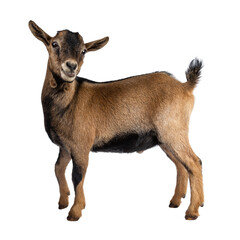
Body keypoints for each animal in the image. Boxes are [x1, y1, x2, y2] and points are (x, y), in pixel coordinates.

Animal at [28, 20, 204, 221]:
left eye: (84, 50)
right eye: (54, 44)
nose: (71, 66)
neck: (69, 101)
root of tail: (185, 87)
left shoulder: (81, 146)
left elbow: (77, 176)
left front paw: (75, 211)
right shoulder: (65, 146)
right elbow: (58, 169)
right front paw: (63, 203)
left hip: (174, 132)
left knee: (194, 163)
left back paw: (192, 211)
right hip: (164, 139)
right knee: (181, 166)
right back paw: (177, 201)